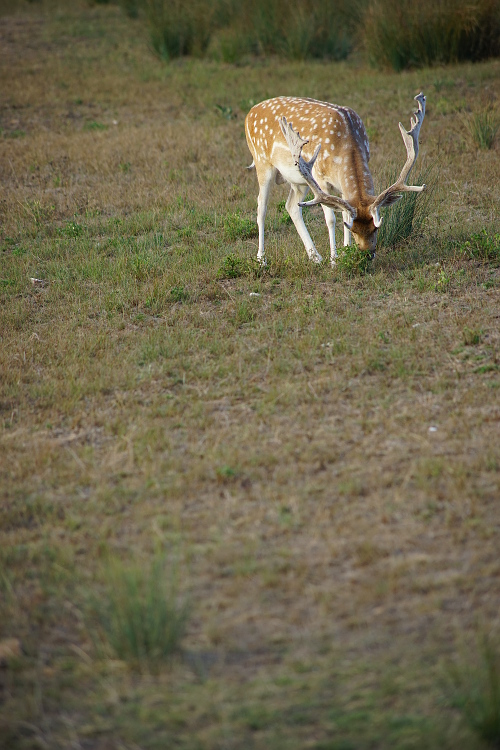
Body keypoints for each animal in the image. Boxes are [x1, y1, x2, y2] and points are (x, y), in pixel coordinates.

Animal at [244, 93, 424, 266]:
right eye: (354, 230)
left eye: (375, 227)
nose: (367, 254)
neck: (345, 143)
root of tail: (249, 113)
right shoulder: (319, 178)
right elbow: (331, 219)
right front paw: (334, 260)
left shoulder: (343, 188)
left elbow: (345, 216)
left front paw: (345, 252)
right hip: (262, 162)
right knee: (261, 207)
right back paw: (261, 259)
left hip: (300, 181)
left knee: (292, 206)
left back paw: (315, 257)